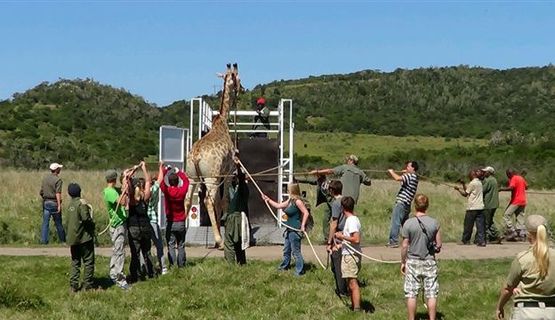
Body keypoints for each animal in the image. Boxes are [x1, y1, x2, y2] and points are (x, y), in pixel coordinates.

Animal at [185, 62, 241, 248]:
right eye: (239, 78)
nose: (242, 88)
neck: (222, 122)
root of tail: (195, 156)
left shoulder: (219, 176)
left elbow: (218, 201)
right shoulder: (228, 172)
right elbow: (223, 201)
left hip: (192, 177)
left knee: (188, 200)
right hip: (210, 177)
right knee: (207, 201)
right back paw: (219, 241)